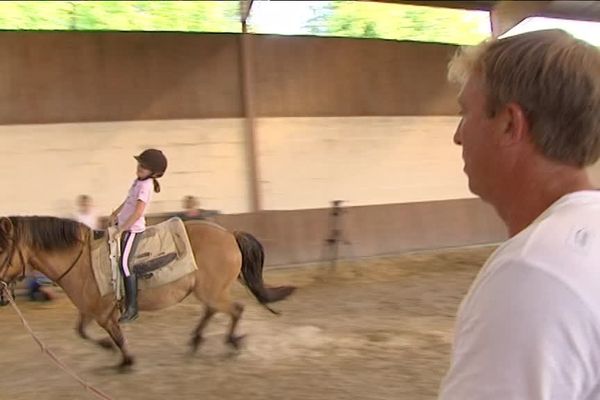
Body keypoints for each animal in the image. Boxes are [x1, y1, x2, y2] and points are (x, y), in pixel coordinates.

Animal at [0, 217, 296, 368]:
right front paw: (108, 348)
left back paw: (232, 342)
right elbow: (81, 331)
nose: (2, 293)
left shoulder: (103, 313)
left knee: (235, 310)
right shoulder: (88, 309)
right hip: (208, 291)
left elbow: (116, 336)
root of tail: (229, 233)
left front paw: (125, 360)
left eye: (2, 250)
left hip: (212, 291)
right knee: (214, 311)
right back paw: (196, 341)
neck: (82, 260)